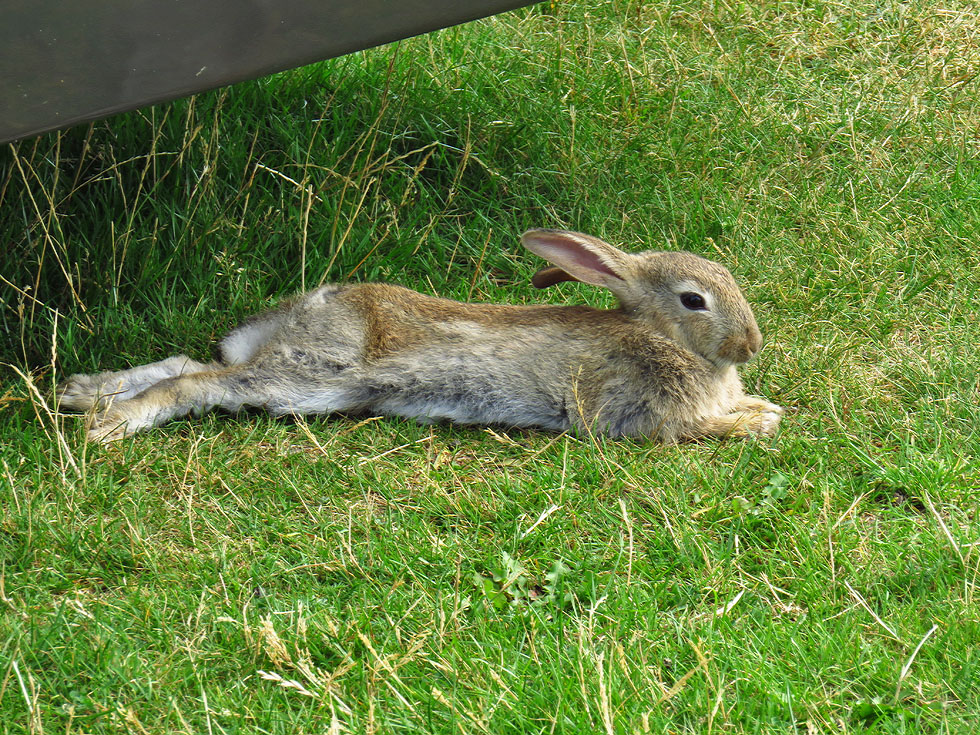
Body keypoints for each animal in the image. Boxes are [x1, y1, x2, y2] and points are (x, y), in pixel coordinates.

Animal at [57, 230, 784, 442]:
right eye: (694, 301)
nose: (749, 346)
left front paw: (760, 404)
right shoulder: (636, 409)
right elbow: (699, 426)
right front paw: (759, 419)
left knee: (187, 362)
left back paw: (81, 392)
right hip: (309, 374)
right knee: (198, 381)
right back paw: (109, 424)